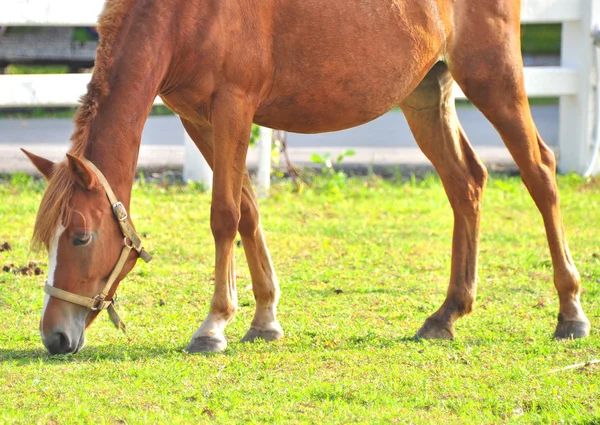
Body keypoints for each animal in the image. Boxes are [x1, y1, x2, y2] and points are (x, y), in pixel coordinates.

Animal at [24, 0, 592, 354]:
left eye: (81, 237)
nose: (54, 337)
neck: (184, 16)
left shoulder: (233, 107)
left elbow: (224, 214)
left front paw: (214, 325)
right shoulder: (198, 118)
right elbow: (248, 212)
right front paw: (264, 319)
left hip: (494, 78)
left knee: (540, 172)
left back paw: (570, 312)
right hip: (425, 95)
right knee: (466, 183)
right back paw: (447, 314)